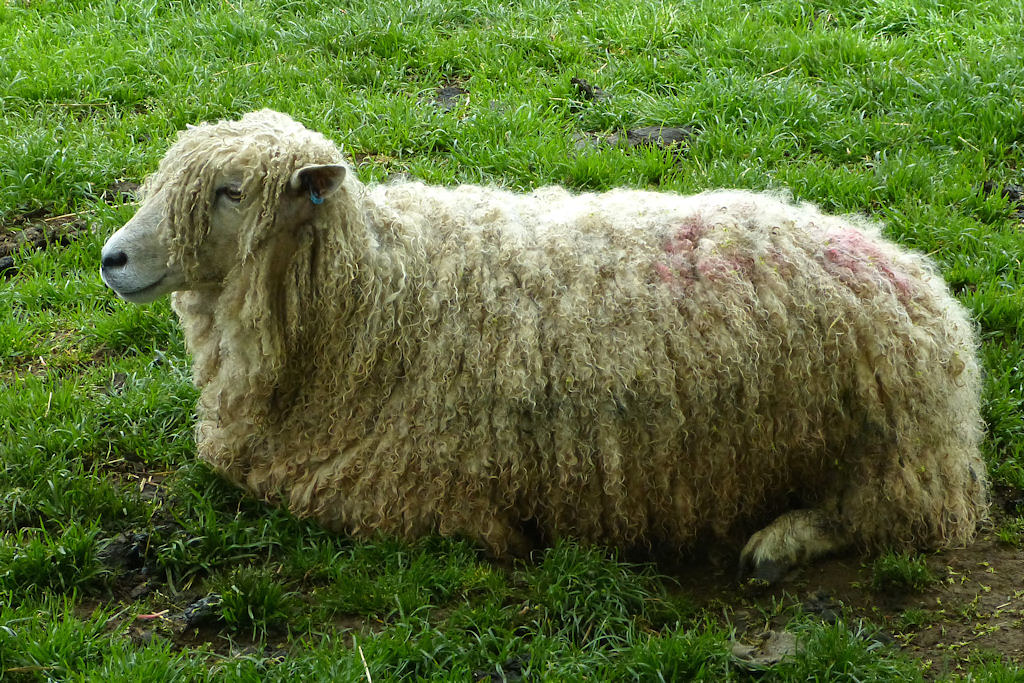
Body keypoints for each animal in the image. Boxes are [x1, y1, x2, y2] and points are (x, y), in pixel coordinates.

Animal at [100, 109, 988, 580]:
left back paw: (779, 542)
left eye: (230, 191)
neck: (371, 300)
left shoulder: (407, 493)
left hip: (887, 450)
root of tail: (923, 284)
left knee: (888, 517)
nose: (112, 258)